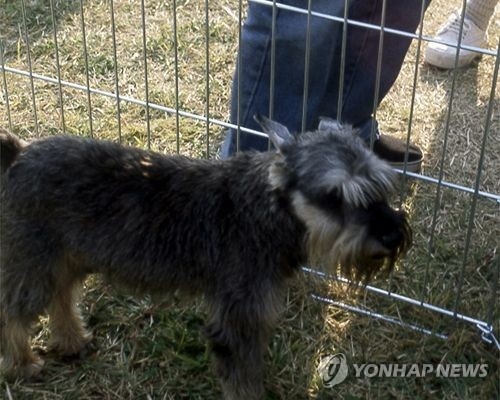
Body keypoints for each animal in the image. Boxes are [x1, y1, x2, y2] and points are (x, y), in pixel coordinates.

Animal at [0, 118, 412, 400]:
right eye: (333, 196)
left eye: (381, 185)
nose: (392, 235)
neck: (266, 208)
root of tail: (19, 152)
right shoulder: (239, 317)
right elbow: (242, 376)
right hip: (35, 262)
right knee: (13, 312)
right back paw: (23, 364)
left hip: (66, 258)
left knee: (61, 297)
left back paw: (72, 340)